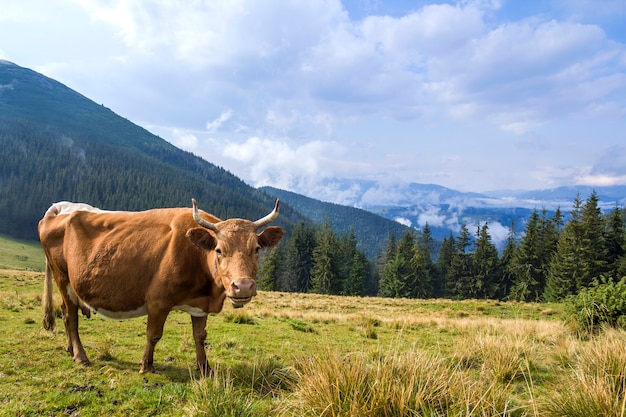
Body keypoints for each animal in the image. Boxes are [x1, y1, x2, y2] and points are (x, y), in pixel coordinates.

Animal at [38, 198, 282, 374]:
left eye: (257, 249)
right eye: (219, 250)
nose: (243, 286)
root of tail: (59, 208)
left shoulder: (200, 305)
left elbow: (200, 337)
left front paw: (205, 368)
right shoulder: (158, 301)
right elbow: (153, 334)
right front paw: (146, 366)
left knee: (65, 312)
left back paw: (70, 349)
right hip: (62, 277)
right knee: (70, 317)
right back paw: (81, 357)